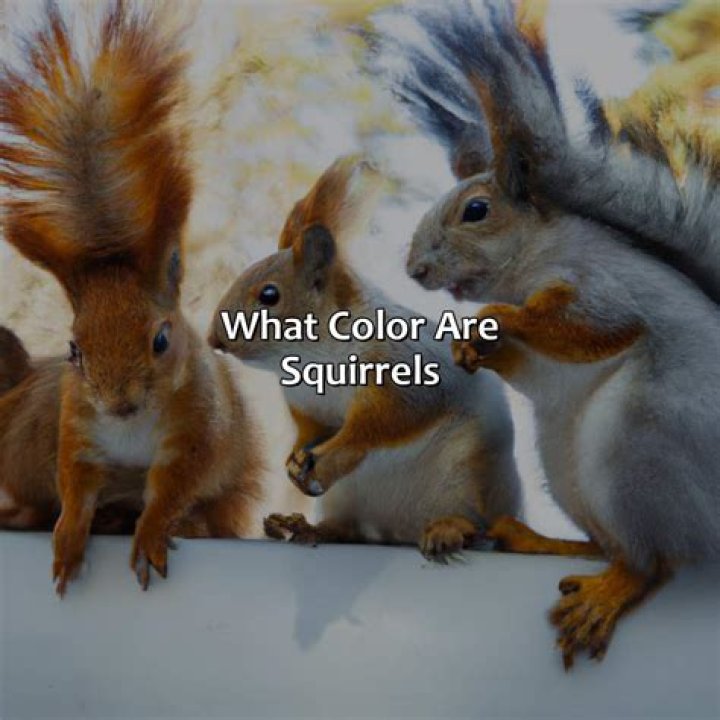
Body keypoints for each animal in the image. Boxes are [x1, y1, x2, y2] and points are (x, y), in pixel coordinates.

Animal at [0, 2, 263, 595]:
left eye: (162, 341)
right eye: (74, 350)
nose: (118, 403)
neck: (131, 427)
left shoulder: (197, 435)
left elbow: (170, 490)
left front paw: (152, 532)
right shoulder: (78, 429)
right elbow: (76, 488)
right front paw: (69, 538)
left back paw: (177, 523)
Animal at [209, 156, 521, 558]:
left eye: (269, 295)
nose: (214, 339)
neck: (312, 354)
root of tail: (400, 530)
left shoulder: (406, 369)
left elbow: (381, 422)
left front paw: (334, 452)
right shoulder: (306, 404)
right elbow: (309, 429)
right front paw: (294, 459)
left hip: (469, 478)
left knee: (473, 523)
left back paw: (449, 529)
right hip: (346, 499)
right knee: (350, 528)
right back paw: (309, 527)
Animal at [377, 0, 720, 667]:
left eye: (476, 211)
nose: (416, 270)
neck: (532, 256)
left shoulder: (601, 283)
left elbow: (595, 327)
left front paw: (495, 321)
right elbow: (532, 364)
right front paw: (472, 346)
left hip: (640, 443)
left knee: (655, 563)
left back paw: (610, 590)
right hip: (561, 464)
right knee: (609, 544)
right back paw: (537, 541)